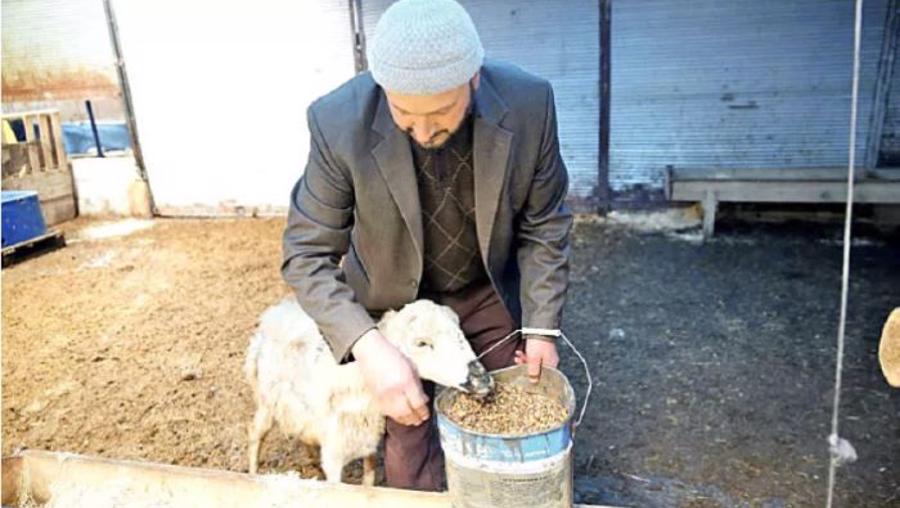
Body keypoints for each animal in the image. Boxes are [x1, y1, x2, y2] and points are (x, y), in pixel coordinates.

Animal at [244, 298, 492, 484]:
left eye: (459, 331)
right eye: (422, 343)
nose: (482, 379)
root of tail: (278, 309)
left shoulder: (369, 439)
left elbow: (369, 480)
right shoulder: (334, 454)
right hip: (266, 402)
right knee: (256, 435)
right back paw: (253, 475)